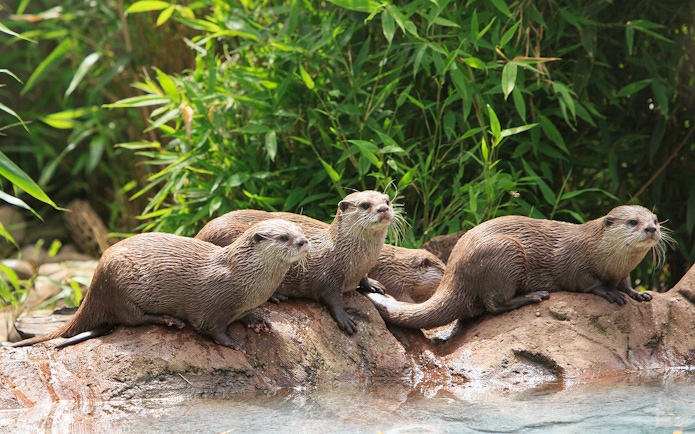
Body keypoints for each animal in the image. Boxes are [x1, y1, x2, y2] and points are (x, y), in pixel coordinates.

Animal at [10, 219, 309, 351]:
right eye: (284, 237)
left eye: (300, 231)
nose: (304, 241)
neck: (246, 281)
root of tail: (95, 282)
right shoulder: (214, 308)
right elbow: (212, 330)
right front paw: (234, 344)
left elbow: (247, 315)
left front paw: (257, 320)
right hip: (120, 287)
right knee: (131, 319)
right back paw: (168, 320)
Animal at [196, 191, 396, 334]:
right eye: (365, 205)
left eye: (387, 201)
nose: (383, 209)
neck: (353, 260)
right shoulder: (328, 276)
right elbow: (332, 298)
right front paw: (345, 318)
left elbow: (364, 278)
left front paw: (372, 284)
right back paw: (275, 296)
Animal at [365, 205, 670, 330]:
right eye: (632, 222)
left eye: (655, 219)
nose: (651, 229)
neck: (601, 253)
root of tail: (455, 271)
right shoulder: (575, 261)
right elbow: (588, 282)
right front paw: (610, 293)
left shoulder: (624, 271)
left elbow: (627, 282)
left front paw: (638, 293)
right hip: (505, 255)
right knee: (494, 304)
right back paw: (533, 296)